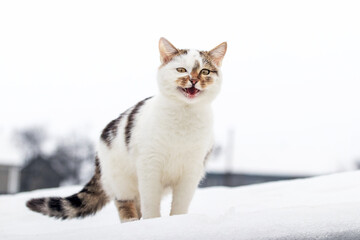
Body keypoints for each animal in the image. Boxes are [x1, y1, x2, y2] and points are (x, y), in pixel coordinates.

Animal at [26, 37, 226, 223]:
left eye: (205, 71)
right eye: (182, 70)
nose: (193, 80)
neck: (184, 116)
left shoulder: (191, 169)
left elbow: (180, 204)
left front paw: (178, 220)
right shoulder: (149, 165)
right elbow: (150, 202)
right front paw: (153, 222)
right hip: (121, 179)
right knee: (125, 203)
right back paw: (131, 222)